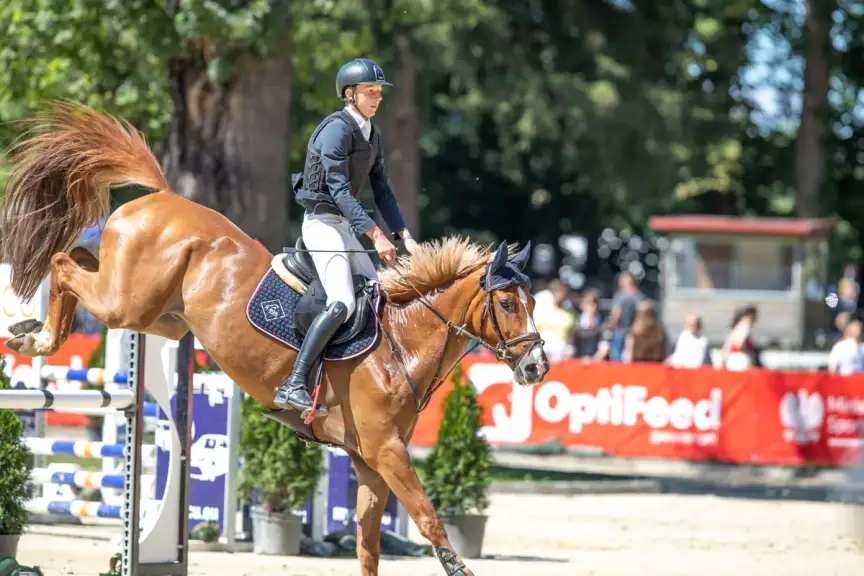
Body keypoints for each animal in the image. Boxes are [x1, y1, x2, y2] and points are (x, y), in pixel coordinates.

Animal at [0, 101, 552, 572]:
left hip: (161, 316)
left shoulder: (371, 461)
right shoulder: (387, 452)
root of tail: (165, 195)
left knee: (80, 258)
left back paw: (34, 330)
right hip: (126, 302)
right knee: (62, 263)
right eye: (508, 304)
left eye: (533, 302)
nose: (537, 368)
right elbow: (431, 520)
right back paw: (37, 338)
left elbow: (368, 546)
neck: (402, 345)